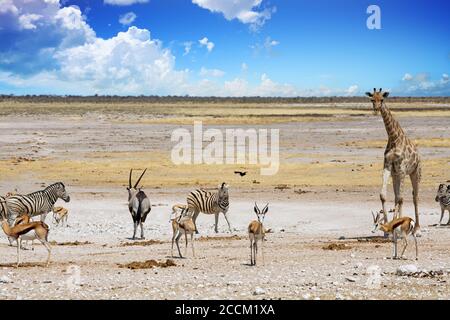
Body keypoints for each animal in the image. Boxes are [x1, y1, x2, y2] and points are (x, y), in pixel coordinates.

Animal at [366, 87, 422, 235]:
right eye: (372, 99)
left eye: (382, 99)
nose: (376, 109)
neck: (393, 138)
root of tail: (419, 156)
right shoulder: (388, 167)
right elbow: (384, 195)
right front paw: (387, 229)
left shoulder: (402, 168)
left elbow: (400, 198)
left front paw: (395, 227)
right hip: (395, 175)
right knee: (399, 196)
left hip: (415, 173)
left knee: (414, 197)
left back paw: (417, 229)